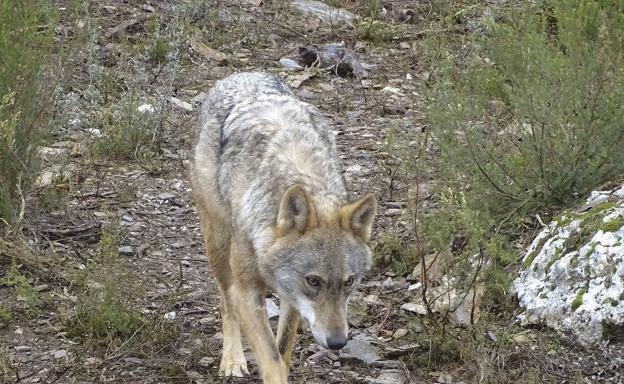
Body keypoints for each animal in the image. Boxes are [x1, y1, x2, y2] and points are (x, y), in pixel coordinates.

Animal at [189, 70, 376, 382]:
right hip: (218, 245)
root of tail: (243, 73)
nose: (338, 342)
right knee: (226, 304)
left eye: (349, 282)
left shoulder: (291, 297)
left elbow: (283, 351)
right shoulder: (247, 293)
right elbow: (271, 360)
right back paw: (232, 360)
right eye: (313, 281)